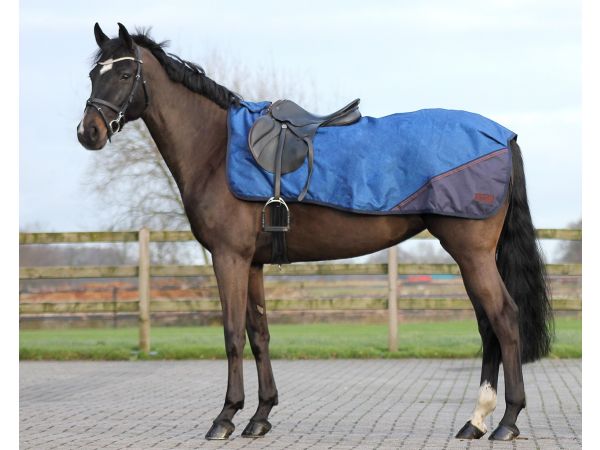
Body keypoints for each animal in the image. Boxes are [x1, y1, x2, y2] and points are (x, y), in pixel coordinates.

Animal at [76, 22, 552, 442]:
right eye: (93, 74)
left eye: (124, 74)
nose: (88, 133)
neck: (214, 149)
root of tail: (502, 135)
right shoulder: (252, 263)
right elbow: (259, 334)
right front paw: (260, 417)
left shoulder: (228, 258)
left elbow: (231, 334)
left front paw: (225, 417)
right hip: (471, 257)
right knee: (487, 325)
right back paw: (476, 421)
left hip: (470, 253)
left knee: (504, 319)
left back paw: (506, 421)